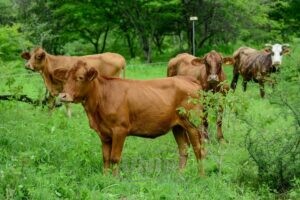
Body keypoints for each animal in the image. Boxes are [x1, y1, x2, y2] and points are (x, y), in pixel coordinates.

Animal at [52, 60, 205, 175]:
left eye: (80, 78)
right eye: (65, 78)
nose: (63, 96)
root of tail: (187, 79)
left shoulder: (120, 129)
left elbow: (114, 157)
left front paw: (114, 180)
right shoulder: (103, 133)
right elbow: (105, 157)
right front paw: (105, 178)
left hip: (194, 124)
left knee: (199, 149)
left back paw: (200, 176)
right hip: (178, 126)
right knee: (183, 149)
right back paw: (180, 174)